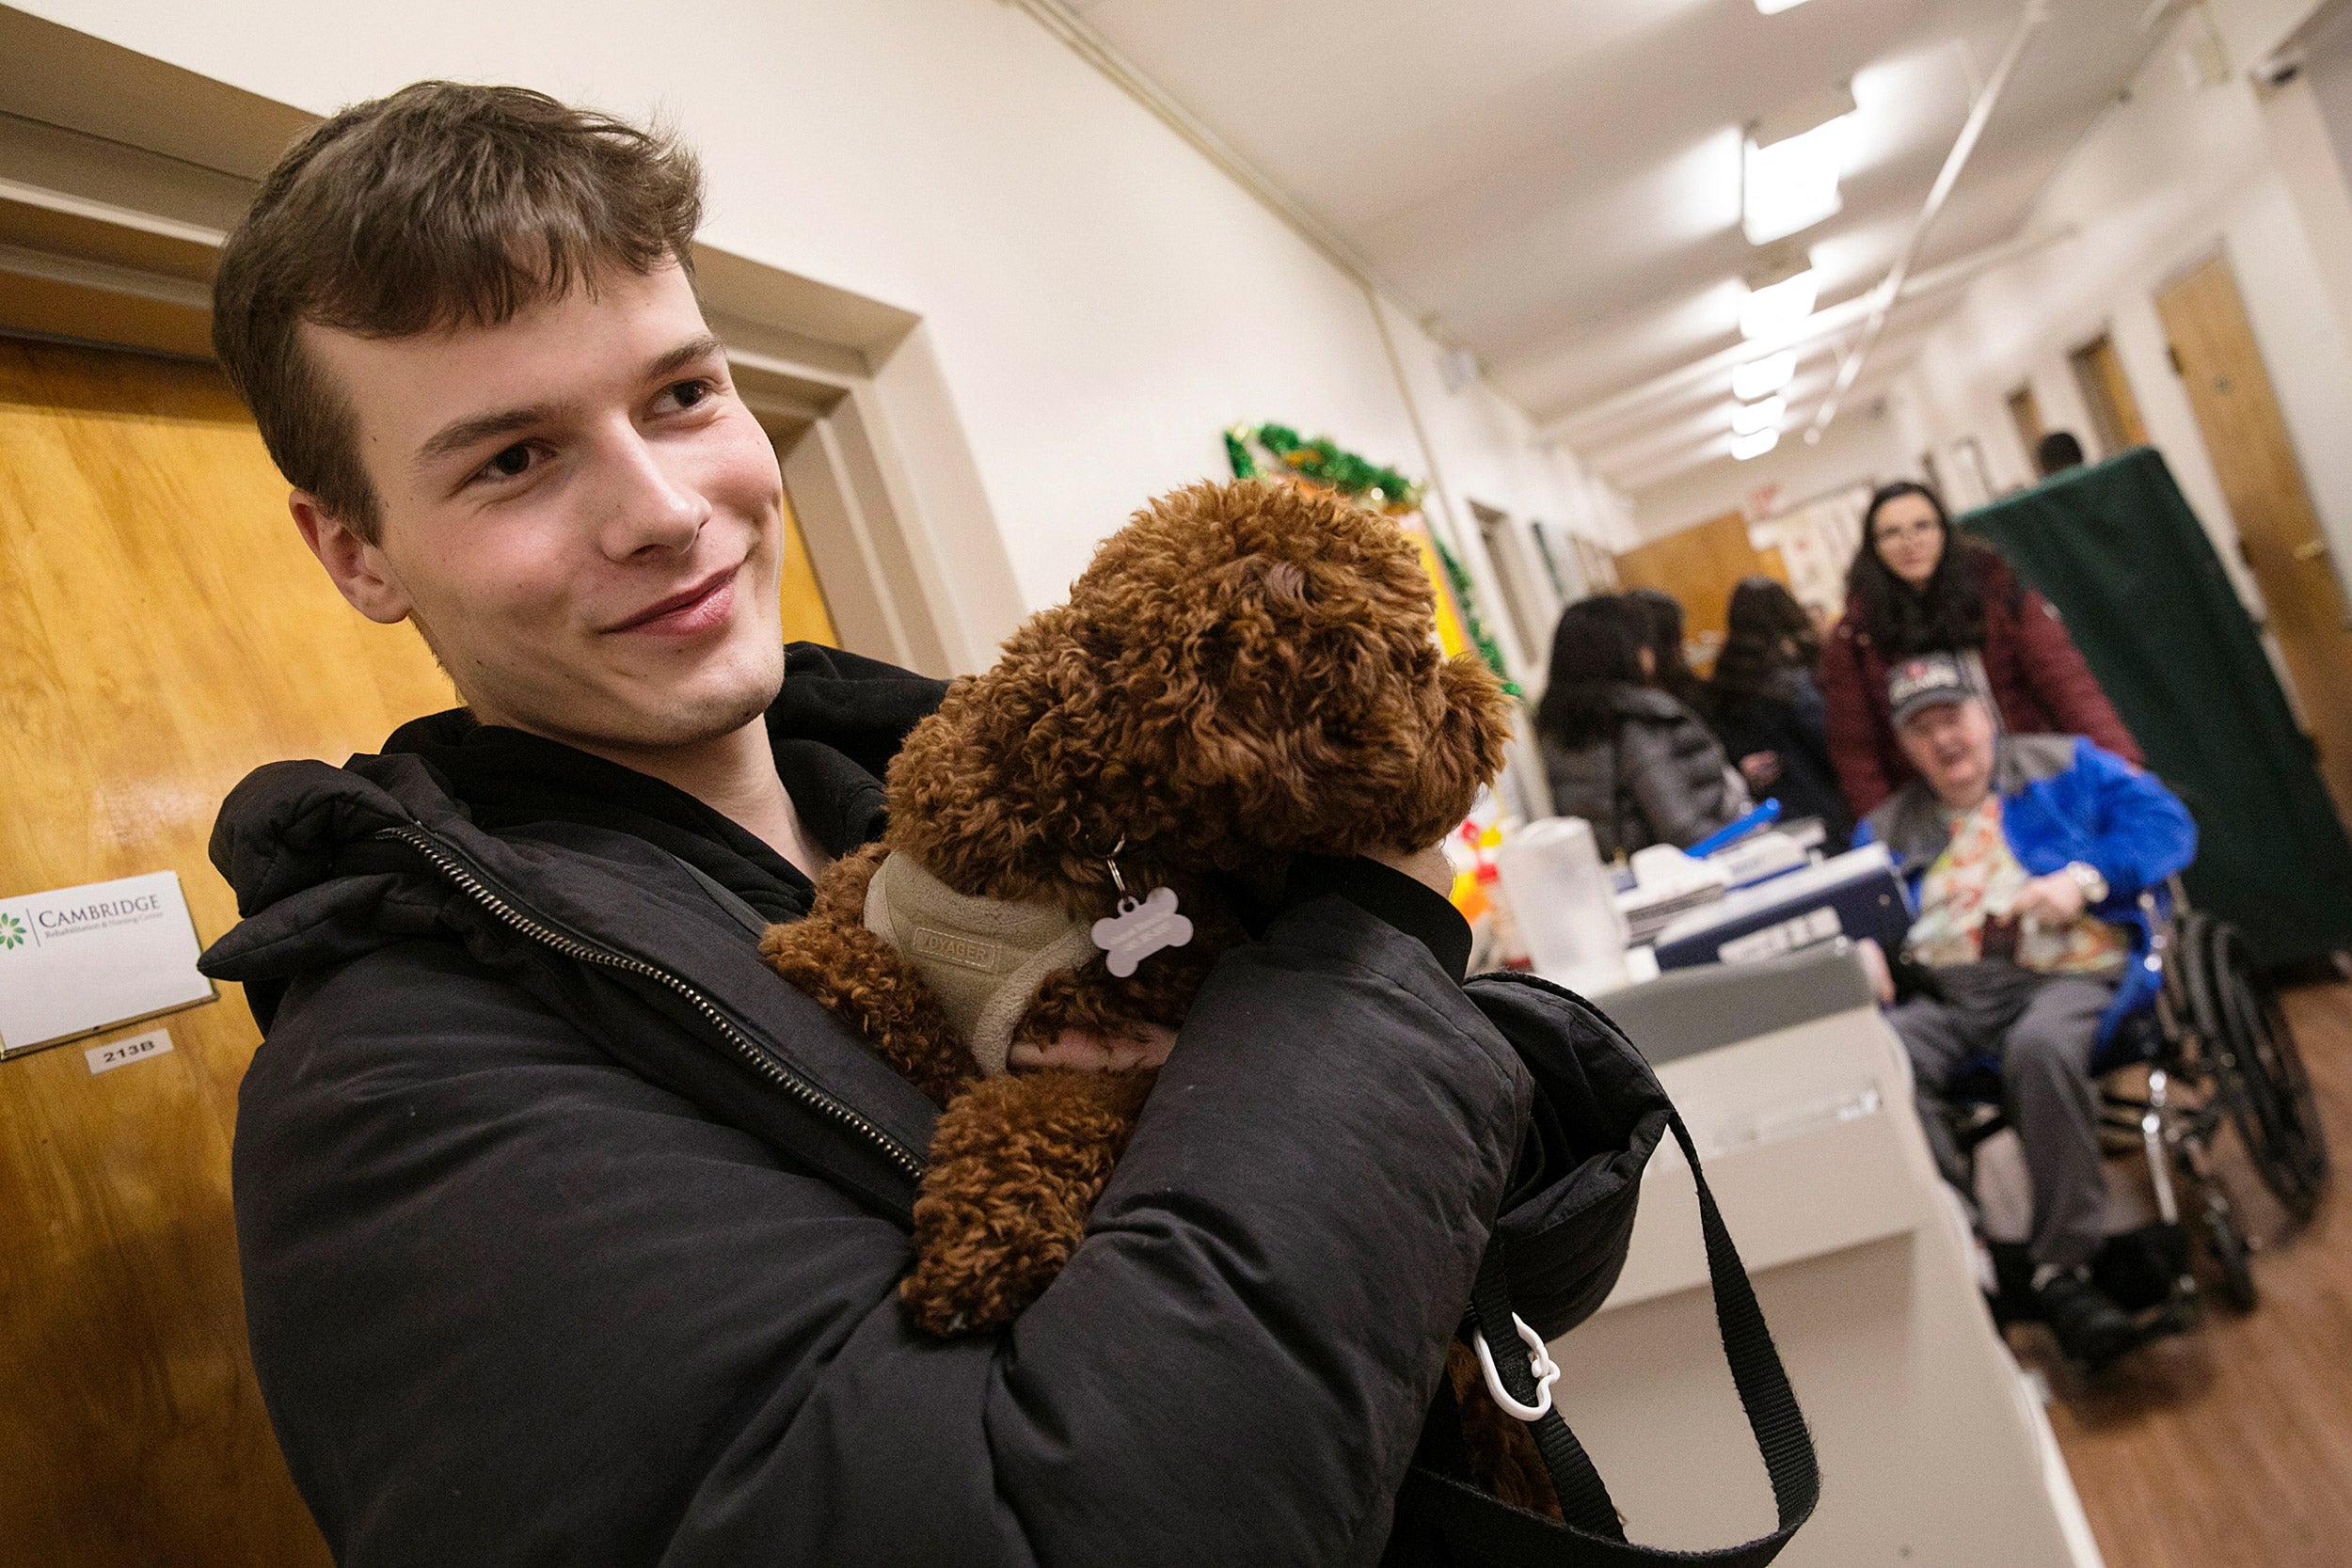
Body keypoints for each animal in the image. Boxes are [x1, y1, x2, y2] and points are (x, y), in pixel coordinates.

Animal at [757, 482, 1562, 1523]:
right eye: (1411, 659)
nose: (1487, 707)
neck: (1084, 825)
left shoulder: (1130, 1061)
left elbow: (1019, 1112)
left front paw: (980, 1250)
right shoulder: (898, 884)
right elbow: (868, 944)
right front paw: (818, 950)